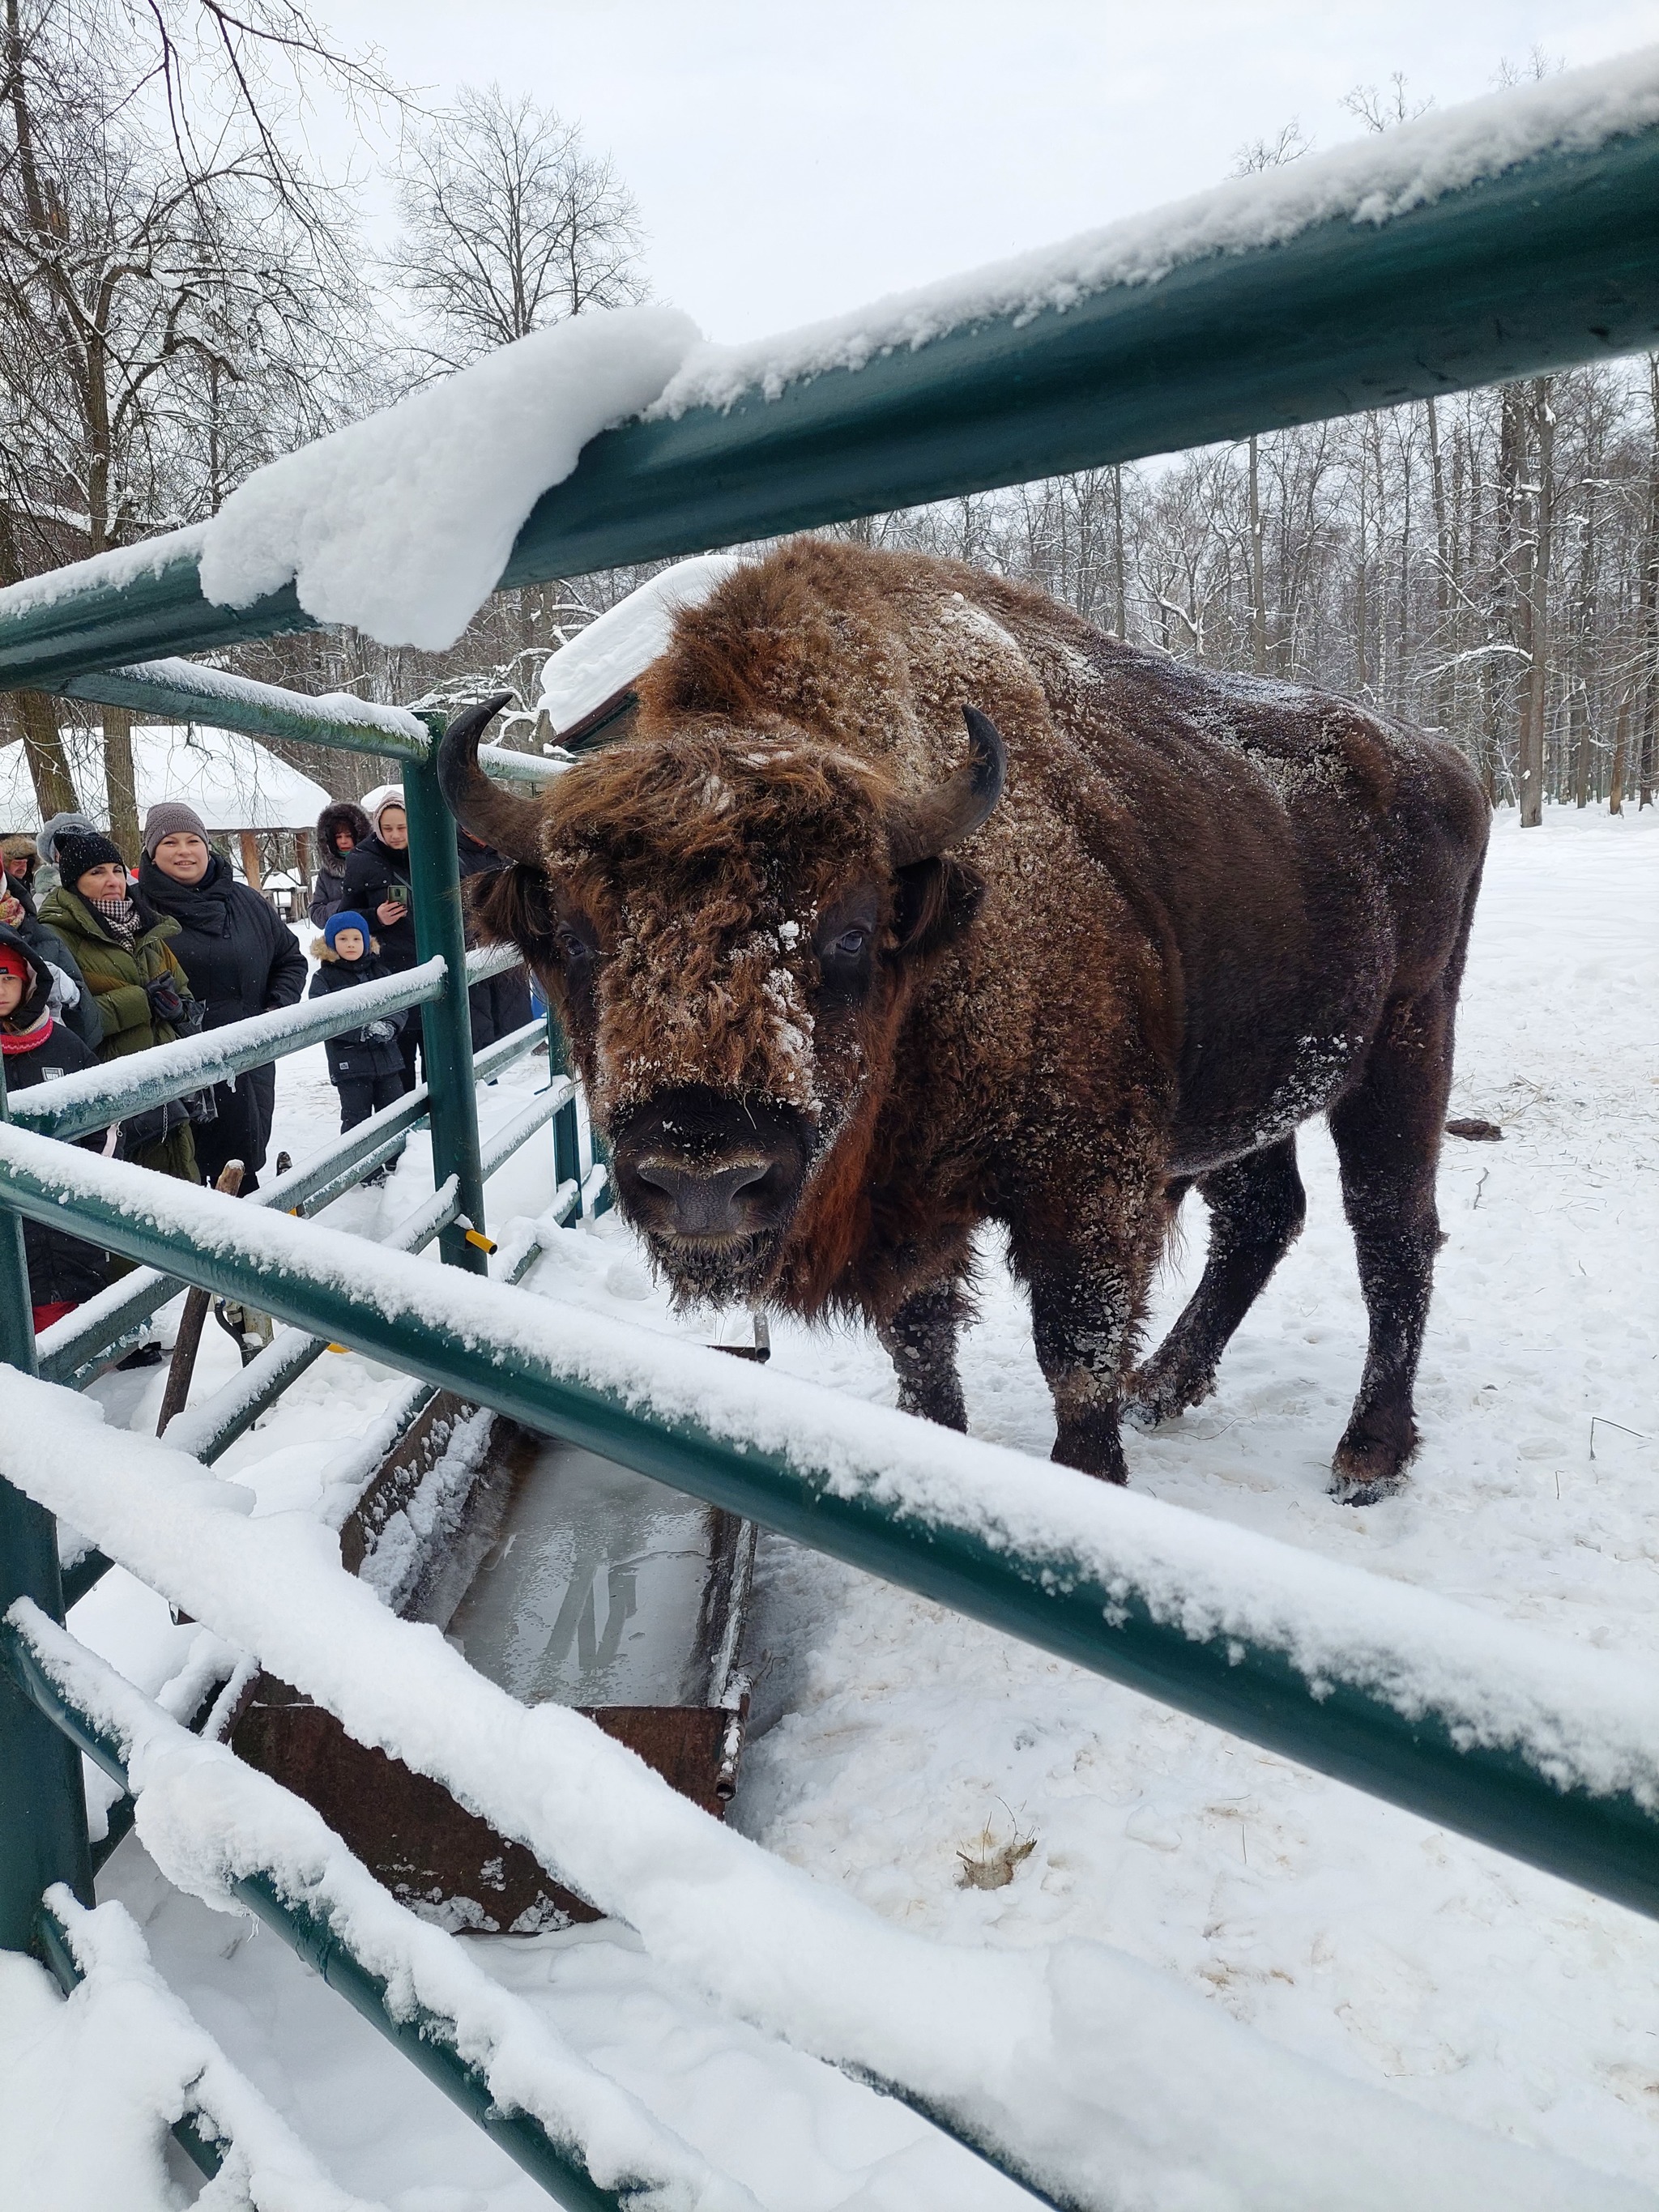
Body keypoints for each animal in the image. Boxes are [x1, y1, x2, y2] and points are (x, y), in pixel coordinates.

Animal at [444, 539, 1495, 1504]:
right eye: (573, 934)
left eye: (851, 928)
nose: (702, 1175)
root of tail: (1445, 763)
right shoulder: (909, 1221)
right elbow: (922, 1353)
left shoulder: (1084, 1187)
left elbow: (1074, 1355)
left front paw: (1090, 1477)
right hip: (1248, 1085)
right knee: (1261, 1216)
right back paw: (1165, 1386)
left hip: (1406, 1042)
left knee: (1391, 1228)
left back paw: (1366, 1452)